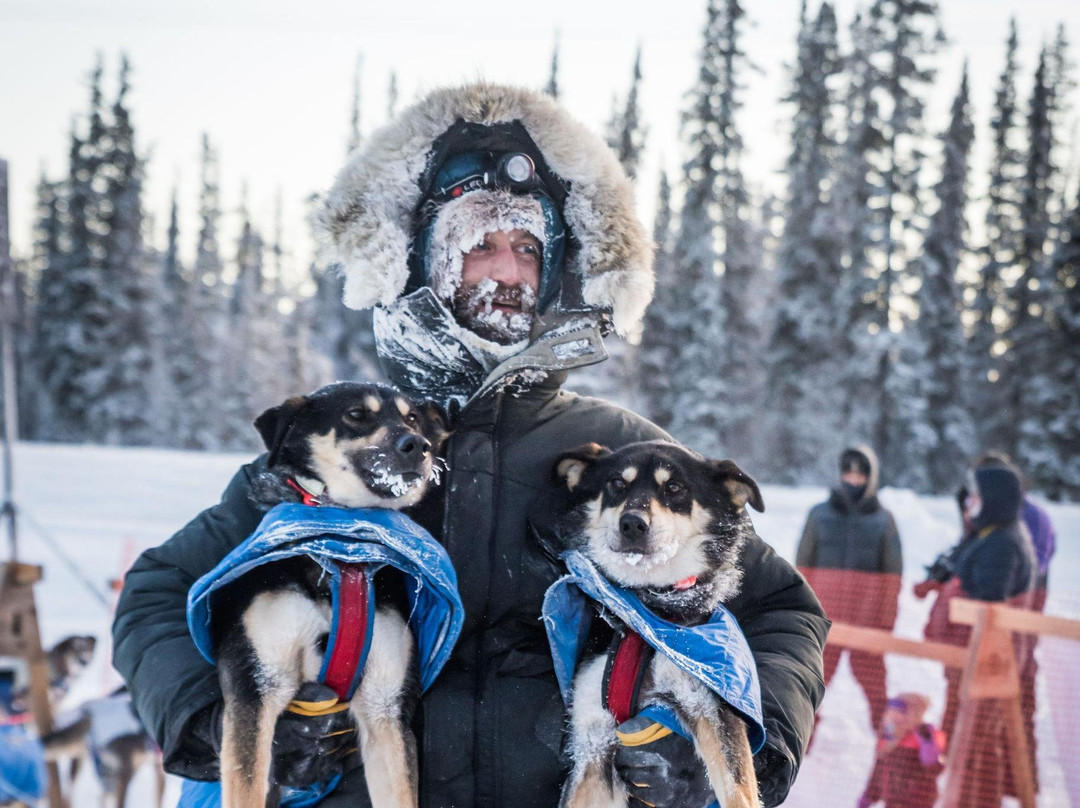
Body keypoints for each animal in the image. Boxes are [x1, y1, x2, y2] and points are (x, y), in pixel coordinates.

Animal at [210, 384, 447, 808]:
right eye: (356, 415)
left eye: (412, 418)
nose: (418, 446)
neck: (342, 548)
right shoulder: (255, 688)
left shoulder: (386, 706)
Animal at [552, 442, 764, 808]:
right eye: (617, 484)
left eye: (674, 488)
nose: (633, 523)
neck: (646, 613)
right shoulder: (594, 736)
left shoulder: (709, 705)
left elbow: (738, 792)